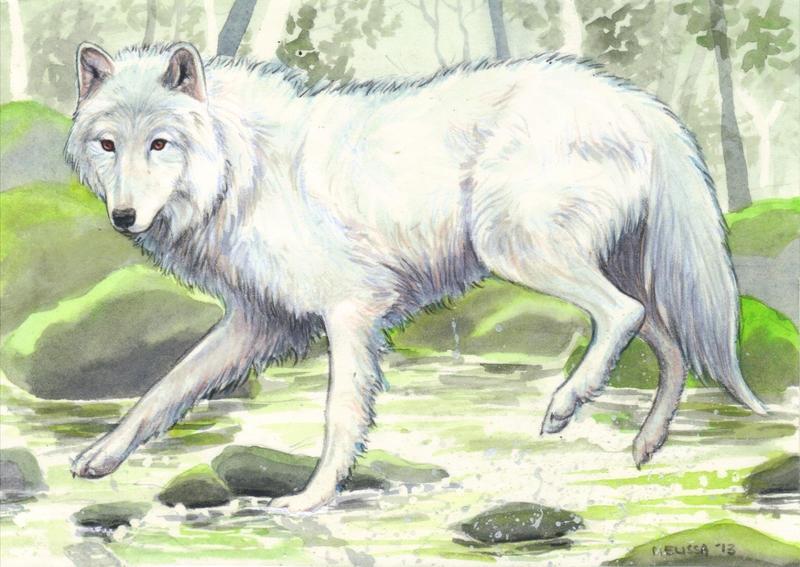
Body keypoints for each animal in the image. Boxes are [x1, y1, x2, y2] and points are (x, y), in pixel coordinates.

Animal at [65, 41, 766, 511]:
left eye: (160, 144)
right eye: (108, 145)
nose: (123, 217)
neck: (241, 169)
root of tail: (638, 102)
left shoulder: (350, 309)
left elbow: (340, 414)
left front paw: (311, 499)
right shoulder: (259, 322)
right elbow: (162, 392)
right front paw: (101, 456)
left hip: (512, 245)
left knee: (623, 315)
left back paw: (565, 405)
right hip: (609, 264)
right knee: (669, 344)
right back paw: (646, 445)